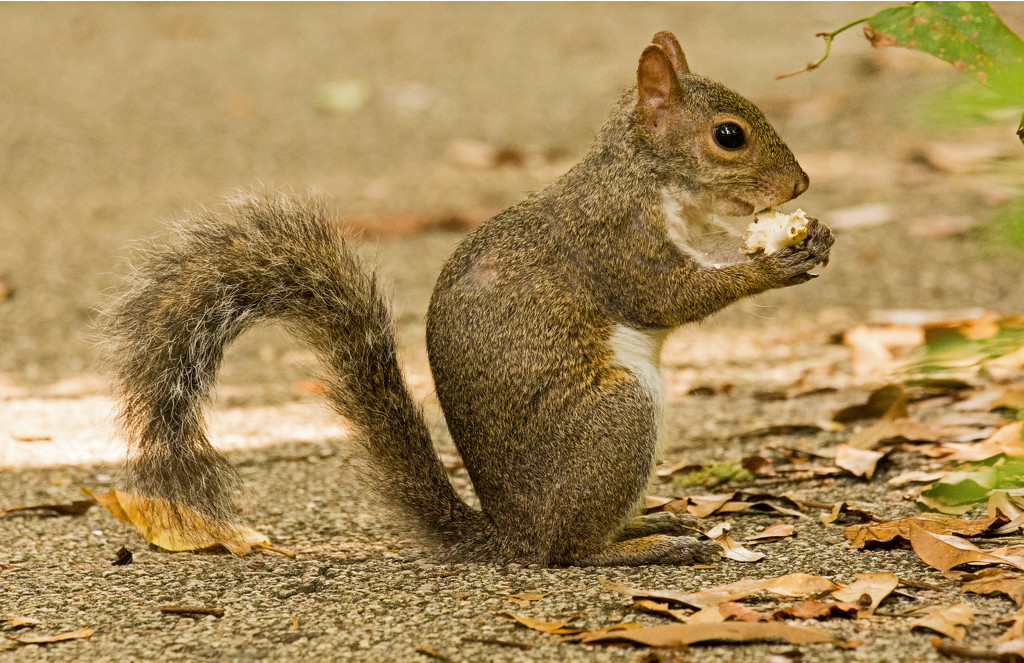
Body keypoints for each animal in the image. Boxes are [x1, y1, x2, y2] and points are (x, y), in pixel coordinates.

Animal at [105, 33, 831, 569]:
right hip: (616, 418)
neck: (648, 178)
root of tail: (513, 534)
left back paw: (651, 520)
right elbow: (669, 294)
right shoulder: (616, 240)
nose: (801, 184)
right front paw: (776, 263)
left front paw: (811, 236)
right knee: (572, 552)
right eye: (729, 135)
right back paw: (650, 546)